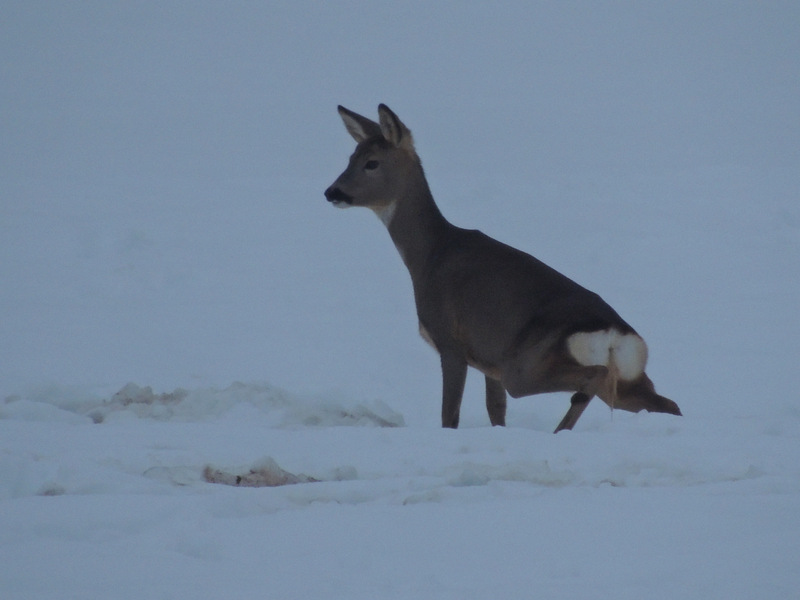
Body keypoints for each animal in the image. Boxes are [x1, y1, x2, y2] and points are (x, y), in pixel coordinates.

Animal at [324, 103, 680, 432]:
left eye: (372, 163)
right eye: (350, 158)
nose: (332, 192)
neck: (429, 256)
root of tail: (616, 334)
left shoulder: (450, 341)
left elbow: (449, 416)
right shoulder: (488, 361)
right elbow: (495, 411)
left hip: (526, 364)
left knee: (595, 376)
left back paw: (561, 428)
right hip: (625, 379)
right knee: (667, 403)